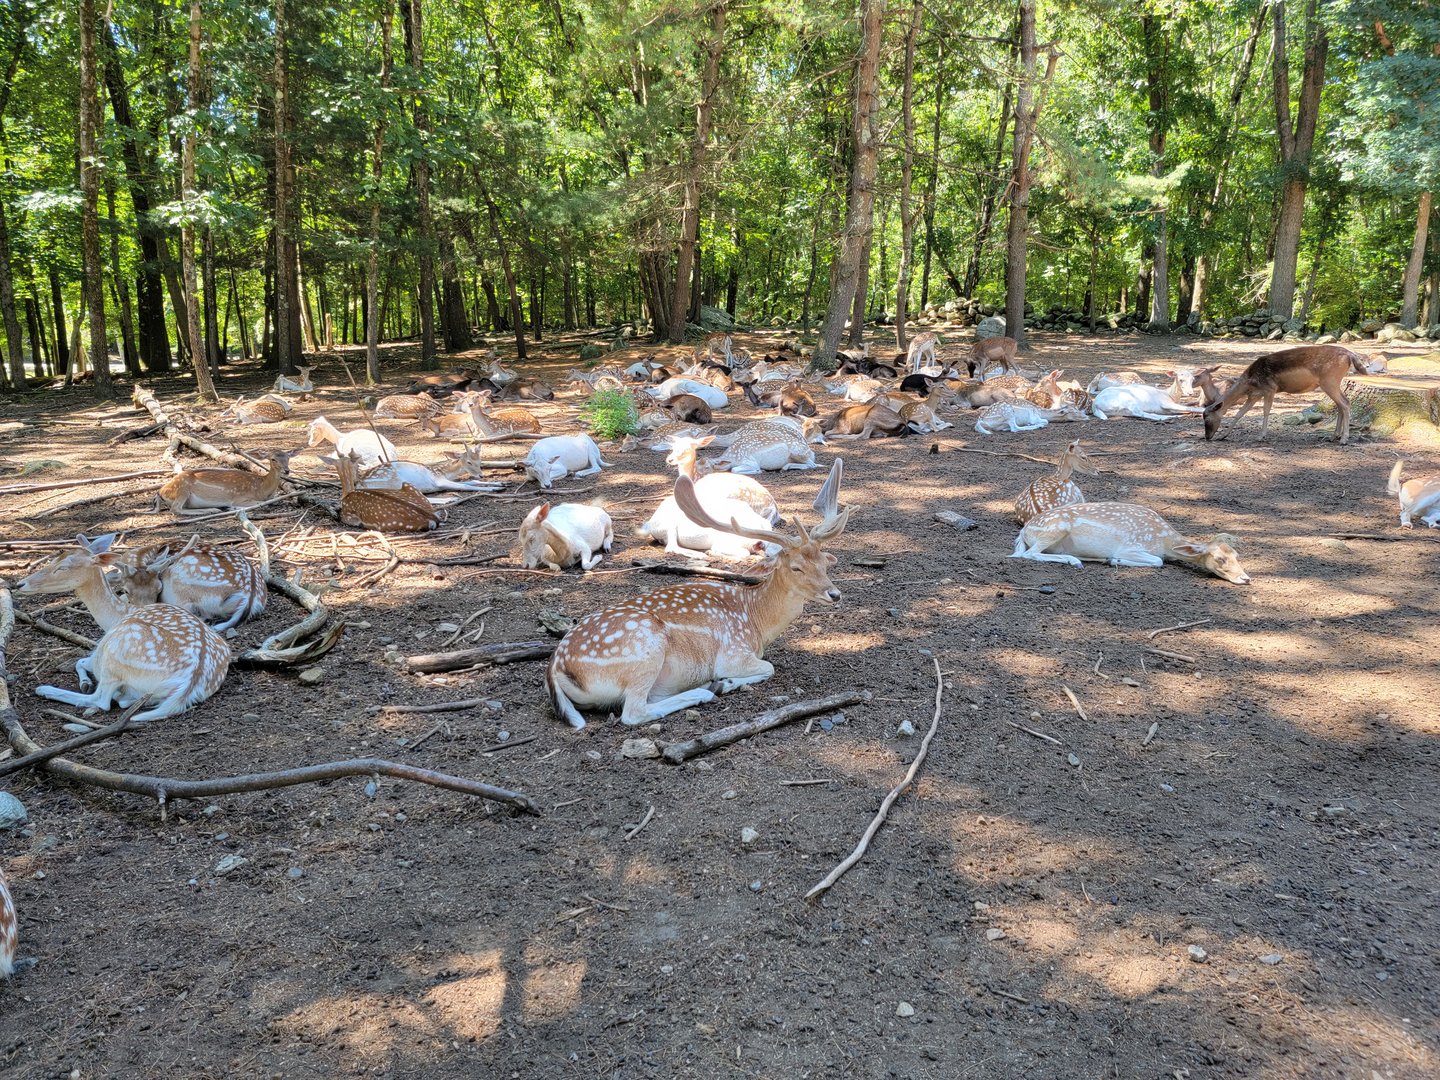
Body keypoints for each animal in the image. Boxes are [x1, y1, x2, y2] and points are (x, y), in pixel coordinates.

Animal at [14, 537, 231, 721]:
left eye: (63, 567)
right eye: (52, 560)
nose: (20, 583)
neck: (116, 617)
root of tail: (190, 683)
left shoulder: (100, 652)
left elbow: (81, 661)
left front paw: (84, 683)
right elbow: (80, 661)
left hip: (114, 654)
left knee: (101, 701)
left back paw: (46, 689)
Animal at [156, 451, 292, 515]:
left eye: (288, 457)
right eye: (273, 459)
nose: (287, 470)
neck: (261, 488)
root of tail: (161, 492)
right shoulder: (240, 497)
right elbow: (263, 504)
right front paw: (231, 507)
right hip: (182, 488)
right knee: (175, 509)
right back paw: (211, 510)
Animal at [547, 460, 849, 728]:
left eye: (824, 562)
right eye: (796, 567)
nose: (834, 594)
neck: (757, 623)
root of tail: (557, 670)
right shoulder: (734, 653)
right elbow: (768, 667)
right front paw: (724, 682)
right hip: (645, 649)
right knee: (633, 712)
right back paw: (705, 690)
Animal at [1011, 503, 1251, 583]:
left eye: (1237, 555)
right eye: (1219, 559)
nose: (1246, 578)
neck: (1164, 541)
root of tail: (1024, 530)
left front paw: (1109, 560)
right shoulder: (1131, 547)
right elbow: (1158, 562)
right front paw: (1114, 559)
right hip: (1053, 530)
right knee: (1028, 554)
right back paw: (1075, 561)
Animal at [1203, 344, 1373, 443]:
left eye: (1207, 418)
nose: (1207, 436)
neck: (1249, 382)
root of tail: (1350, 355)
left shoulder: (1270, 389)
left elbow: (1266, 411)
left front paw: (1261, 436)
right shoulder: (1254, 395)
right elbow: (1239, 413)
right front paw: (1223, 435)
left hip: (1329, 380)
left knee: (1345, 403)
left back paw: (1344, 439)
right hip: (1332, 382)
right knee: (1341, 404)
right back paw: (1333, 436)